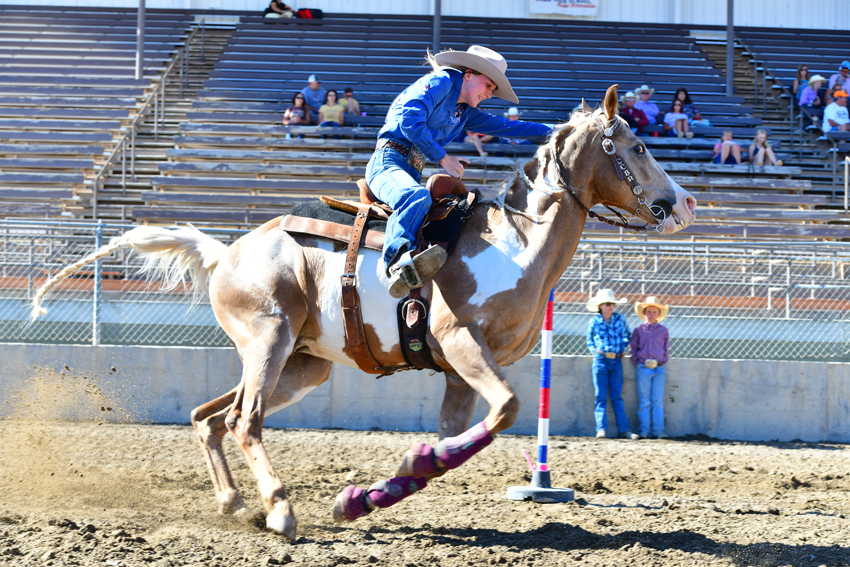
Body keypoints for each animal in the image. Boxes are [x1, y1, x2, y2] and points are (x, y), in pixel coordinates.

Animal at [33, 84, 696, 540]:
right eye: (637, 146)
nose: (683, 202)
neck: (516, 241)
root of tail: (227, 253)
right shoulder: (460, 343)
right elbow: (507, 411)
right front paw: (363, 494)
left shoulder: (460, 372)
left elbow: (454, 443)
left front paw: (365, 496)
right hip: (269, 339)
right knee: (244, 422)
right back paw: (279, 510)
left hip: (302, 365)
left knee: (209, 418)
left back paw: (237, 505)